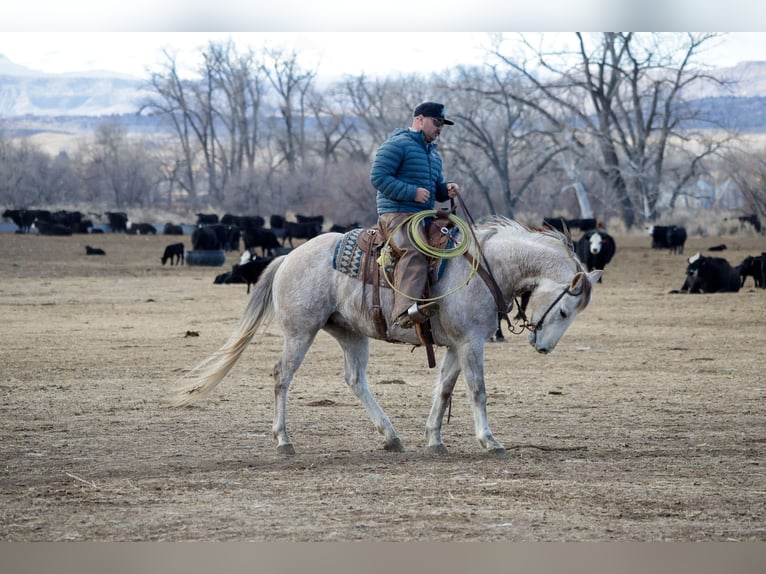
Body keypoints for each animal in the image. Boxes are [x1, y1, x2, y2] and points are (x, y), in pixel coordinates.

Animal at [170, 216, 601, 456]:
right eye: (564, 311)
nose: (542, 347)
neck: (485, 268)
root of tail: (289, 256)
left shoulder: (457, 345)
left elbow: (444, 389)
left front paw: (434, 439)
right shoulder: (471, 343)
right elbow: (476, 390)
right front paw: (489, 441)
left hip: (350, 334)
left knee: (355, 379)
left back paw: (391, 436)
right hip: (300, 333)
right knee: (281, 377)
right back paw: (283, 440)